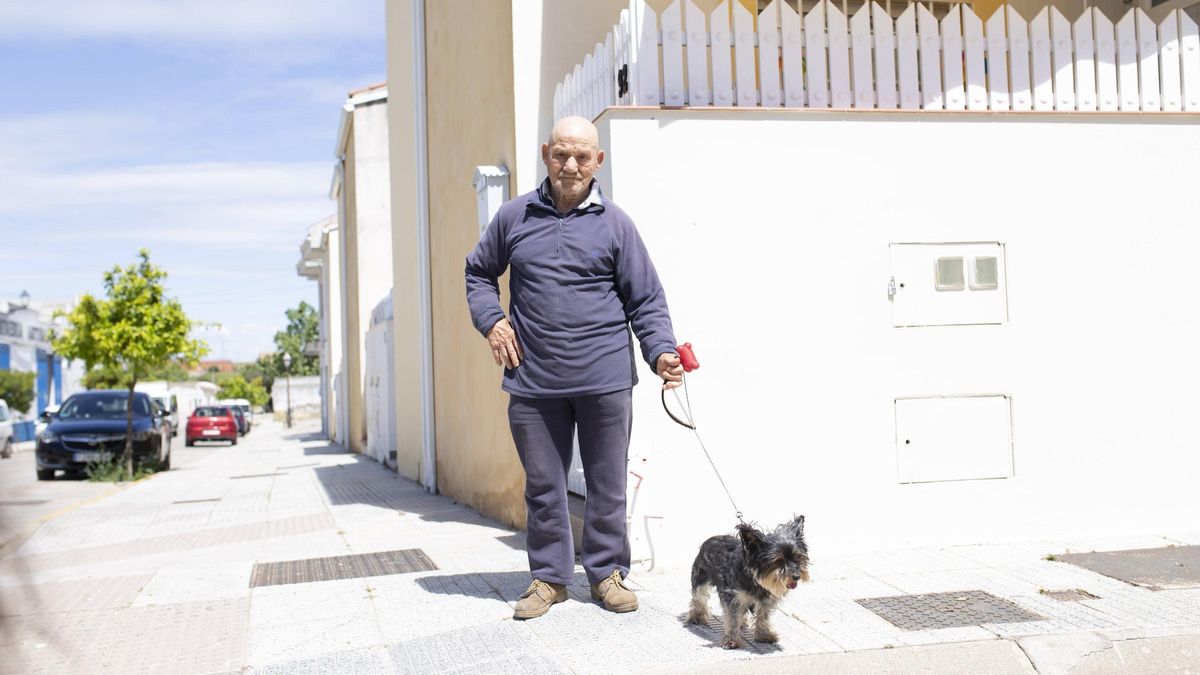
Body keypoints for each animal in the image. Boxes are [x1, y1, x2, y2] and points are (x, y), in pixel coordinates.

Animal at [686, 514, 806, 648]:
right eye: (778, 560)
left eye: (797, 557)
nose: (796, 576)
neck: (754, 578)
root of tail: (710, 539)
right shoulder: (732, 597)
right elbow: (732, 618)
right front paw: (732, 640)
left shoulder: (766, 600)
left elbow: (763, 617)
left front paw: (764, 635)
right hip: (701, 576)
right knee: (699, 597)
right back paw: (697, 617)